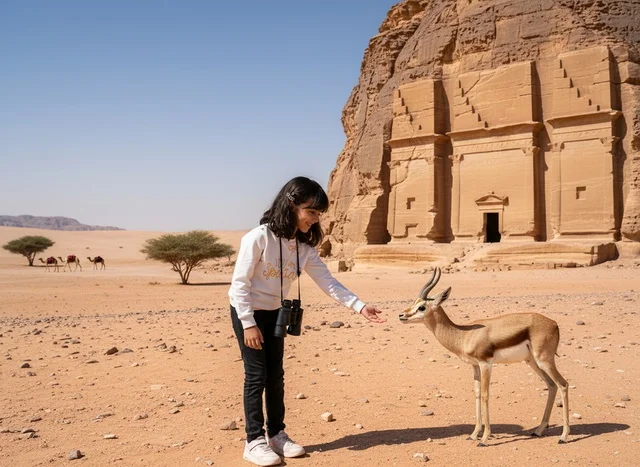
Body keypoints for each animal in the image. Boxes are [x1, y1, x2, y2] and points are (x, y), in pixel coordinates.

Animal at [399, 267, 570, 446]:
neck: (464, 335)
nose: (401, 315)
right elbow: (477, 394)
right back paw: (538, 430)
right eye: (414, 302)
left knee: (563, 384)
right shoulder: (474, 365)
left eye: (422, 307)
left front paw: (485, 438)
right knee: (552, 385)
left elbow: (485, 395)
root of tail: (554, 323)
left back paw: (563, 436)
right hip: (533, 362)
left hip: (544, 360)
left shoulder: (486, 364)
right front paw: (474, 434)